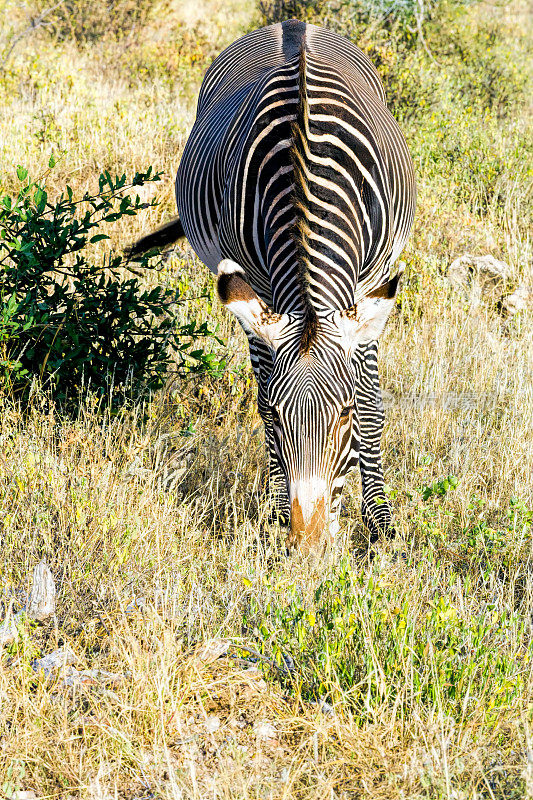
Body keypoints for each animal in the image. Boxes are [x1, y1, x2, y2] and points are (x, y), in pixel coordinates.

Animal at [129, 20, 416, 556]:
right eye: (281, 422)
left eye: (343, 416)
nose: (308, 547)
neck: (306, 185)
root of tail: (293, 25)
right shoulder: (258, 291)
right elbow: (262, 395)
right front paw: (279, 512)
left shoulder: (369, 285)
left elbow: (374, 404)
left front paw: (381, 527)